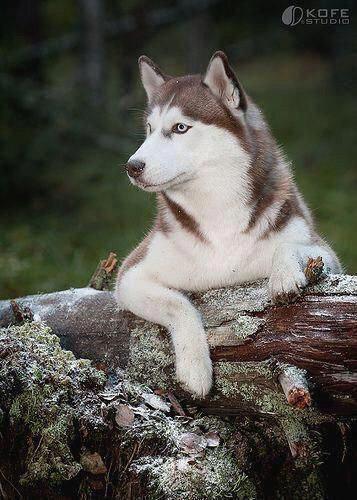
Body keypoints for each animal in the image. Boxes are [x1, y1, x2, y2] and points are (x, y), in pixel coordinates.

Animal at [115, 51, 340, 398]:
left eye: (180, 127)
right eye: (149, 129)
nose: (132, 166)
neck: (218, 216)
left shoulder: (326, 254)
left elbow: (291, 245)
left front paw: (284, 274)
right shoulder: (130, 276)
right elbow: (179, 304)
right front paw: (195, 368)